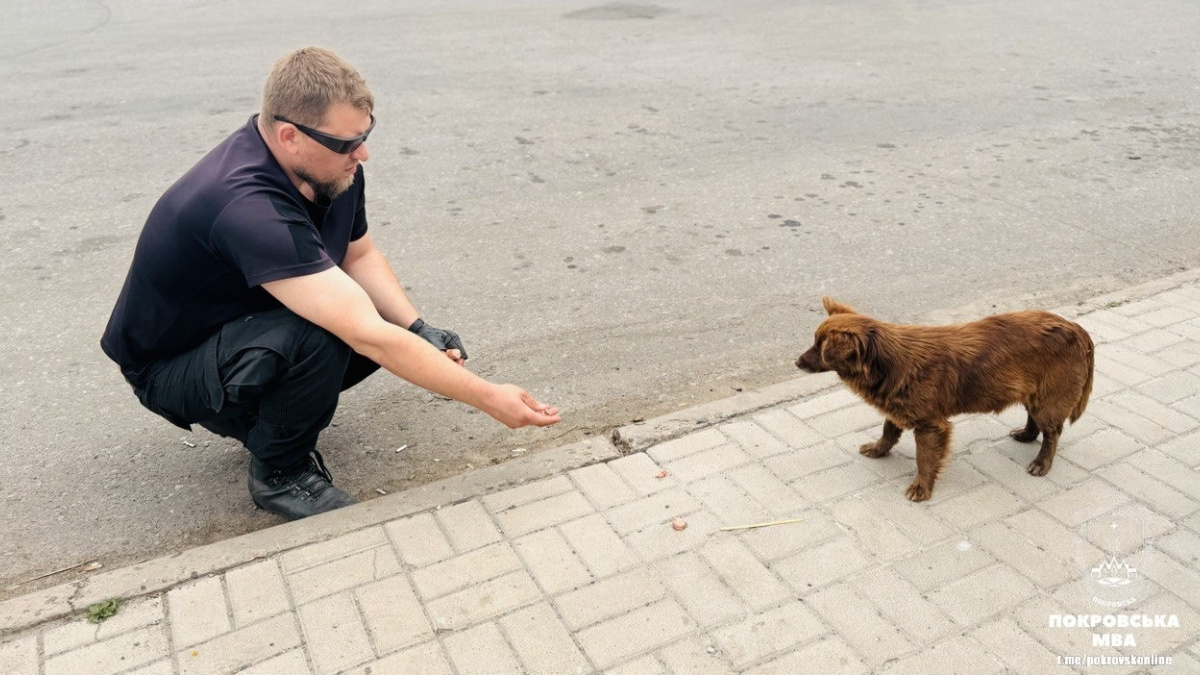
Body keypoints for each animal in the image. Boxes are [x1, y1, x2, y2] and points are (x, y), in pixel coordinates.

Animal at [801, 297, 1094, 499]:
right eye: (814, 342)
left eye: (820, 347)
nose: (797, 362)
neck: (887, 362)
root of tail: (1077, 328)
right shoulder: (896, 406)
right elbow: (888, 430)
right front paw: (878, 449)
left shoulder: (930, 425)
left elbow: (925, 458)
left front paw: (921, 488)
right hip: (1031, 392)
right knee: (1033, 418)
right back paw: (1025, 435)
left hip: (1049, 399)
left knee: (1052, 433)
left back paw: (1041, 463)